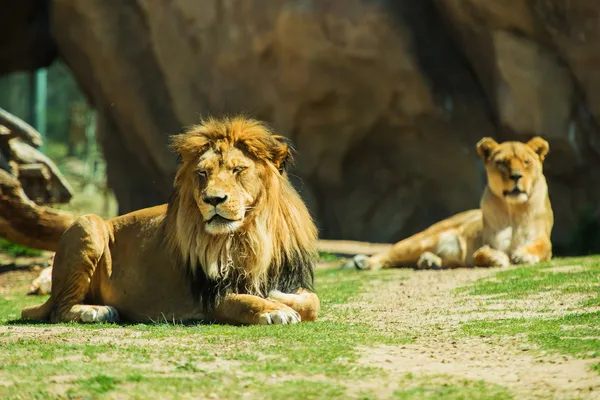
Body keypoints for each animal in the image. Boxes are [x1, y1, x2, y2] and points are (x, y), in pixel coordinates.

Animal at [19, 116, 318, 324]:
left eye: (238, 170)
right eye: (202, 173)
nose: (212, 199)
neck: (248, 235)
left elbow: (312, 302)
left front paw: (281, 298)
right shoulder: (210, 296)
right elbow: (246, 301)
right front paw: (276, 309)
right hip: (87, 224)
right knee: (59, 310)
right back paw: (95, 311)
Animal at [352, 136, 552, 270]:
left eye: (526, 162)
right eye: (502, 162)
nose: (516, 176)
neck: (514, 209)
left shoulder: (543, 239)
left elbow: (541, 247)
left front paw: (523, 255)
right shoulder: (485, 242)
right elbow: (480, 254)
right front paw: (498, 258)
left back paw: (430, 261)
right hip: (423, 239)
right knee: (392, 252)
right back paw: (364, 262)